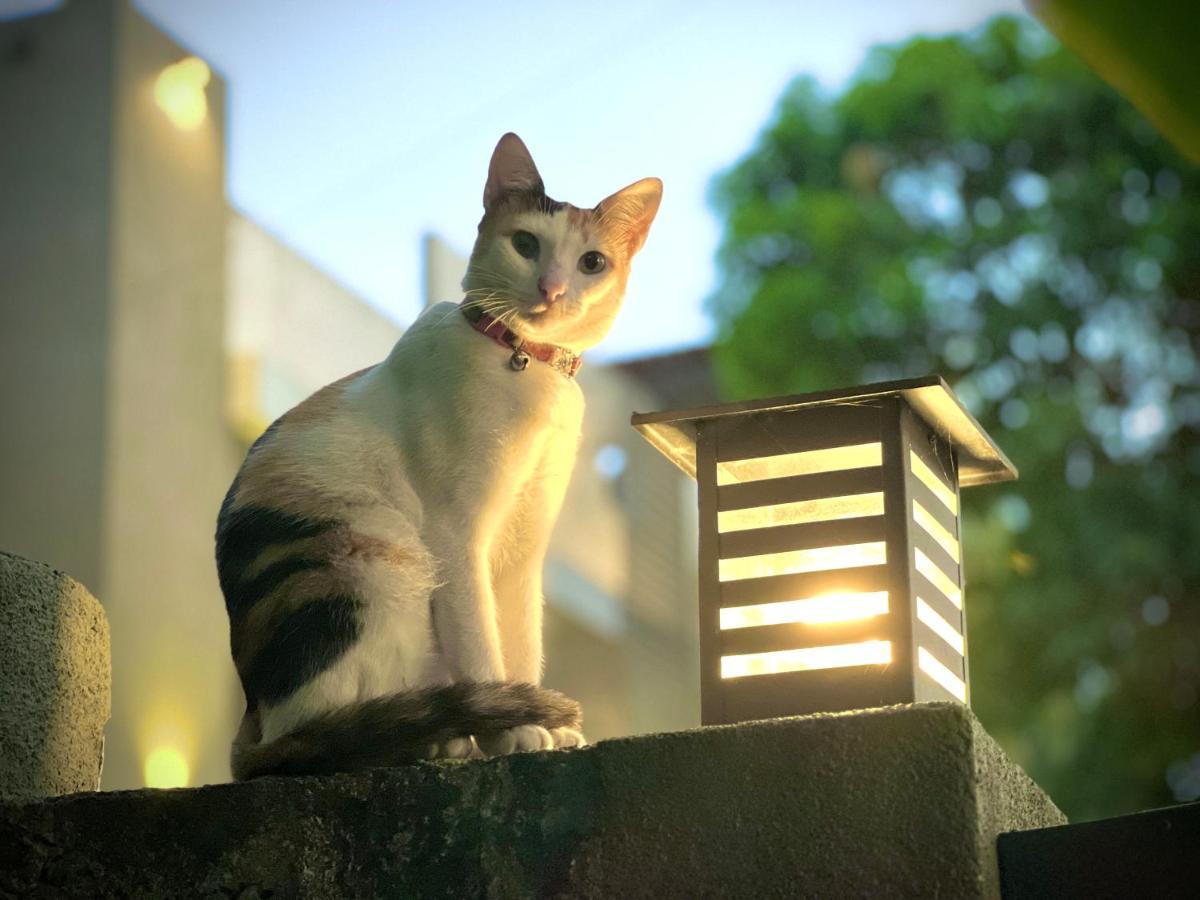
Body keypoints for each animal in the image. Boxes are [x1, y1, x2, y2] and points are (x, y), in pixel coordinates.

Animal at [217, 133, 667, 782]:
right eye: (525, 244)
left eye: (592, 263)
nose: (553, 288)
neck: (526, 366)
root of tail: (251, 722)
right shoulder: (457, 533)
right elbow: (481, 641)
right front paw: (514, 730)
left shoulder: (524, 552)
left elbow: (521, 647)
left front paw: (534, 719)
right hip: (383, 557)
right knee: (325, 739)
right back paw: (434, 738)